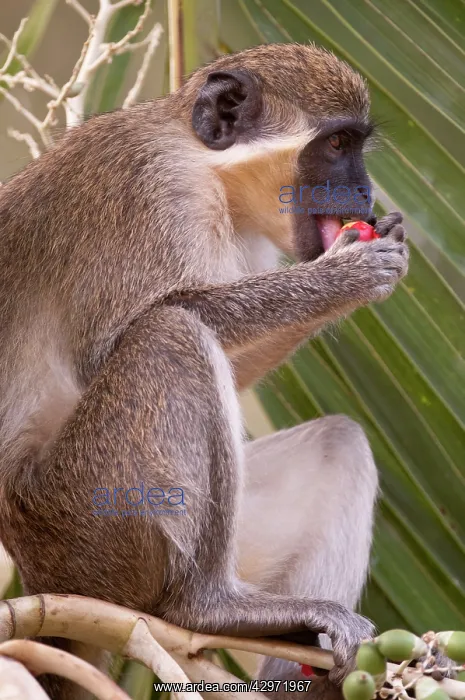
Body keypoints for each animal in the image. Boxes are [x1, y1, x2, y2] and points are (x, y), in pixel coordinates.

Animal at [0, 43, 409, 699]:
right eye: (339, 145)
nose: (365, 196)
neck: (208, 170)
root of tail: (41, 581)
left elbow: (235, 371)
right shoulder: (146, 190)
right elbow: (115, 344)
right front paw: (345, 276)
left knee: (339, 441)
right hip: (90, 526)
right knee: (170, 336)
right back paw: (209, 607)